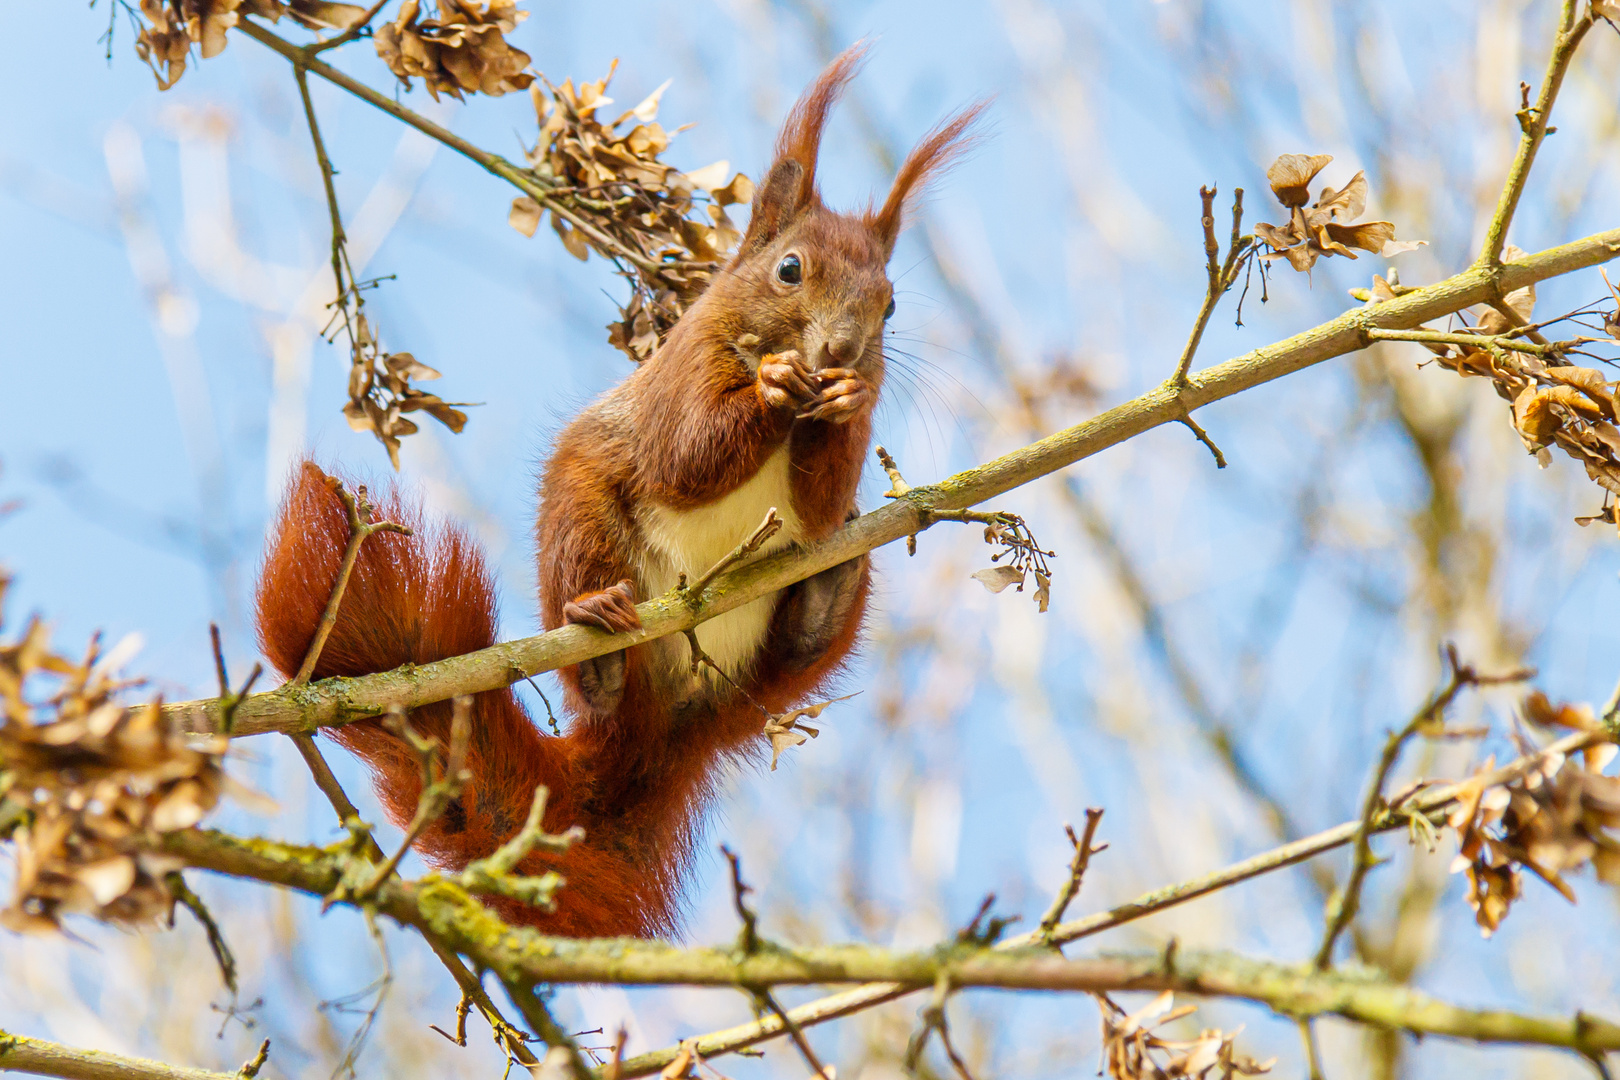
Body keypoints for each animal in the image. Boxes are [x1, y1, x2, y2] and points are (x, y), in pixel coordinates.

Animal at [259, 46, 978, 932]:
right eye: (790, 269)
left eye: (889, 303)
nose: (842, 350)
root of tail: (662, 733)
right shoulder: (679, 377)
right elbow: (685, 455)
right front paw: (774, 388)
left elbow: (816, 507)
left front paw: (839, 403)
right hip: (580, 518)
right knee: (598, 666)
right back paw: (597, 630)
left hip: (791, 643)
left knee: (804, 636)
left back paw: (825, 594)